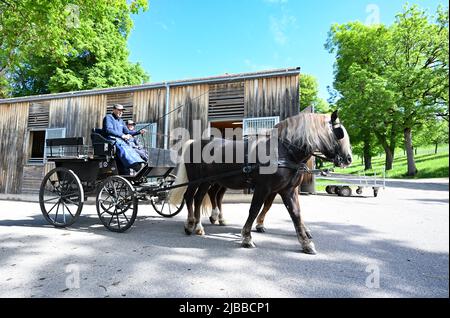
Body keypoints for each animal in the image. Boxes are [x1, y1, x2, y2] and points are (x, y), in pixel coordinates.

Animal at [170, 111, 352, 253]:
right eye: (340, 133)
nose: (349, 158)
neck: (283, 151)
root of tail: (193, 142)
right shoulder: (263, 188)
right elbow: (255, 209)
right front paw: (247, 237)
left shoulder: (287, 190)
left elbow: (295, 213)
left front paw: (306, 243)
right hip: (197, 180)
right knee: (191, 197)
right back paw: (192, 225)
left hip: (210, 181)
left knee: (205, 197)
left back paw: (204, 223)